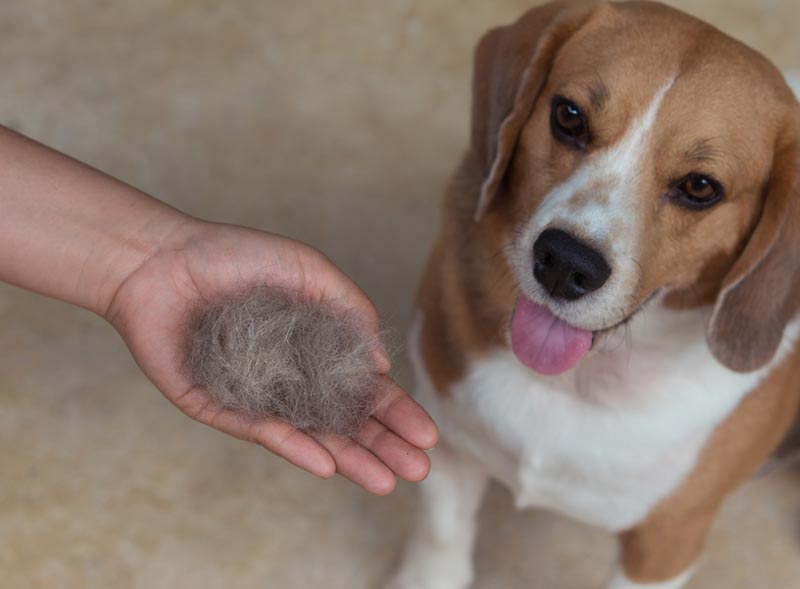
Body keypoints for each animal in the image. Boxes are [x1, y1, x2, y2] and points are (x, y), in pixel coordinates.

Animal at [392, 1, 800, 588]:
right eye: (568, 117)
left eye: (701, 187)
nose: (565, 263)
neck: (574, 383)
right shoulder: (445, 441)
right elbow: (440, 539)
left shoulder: (665, 545)